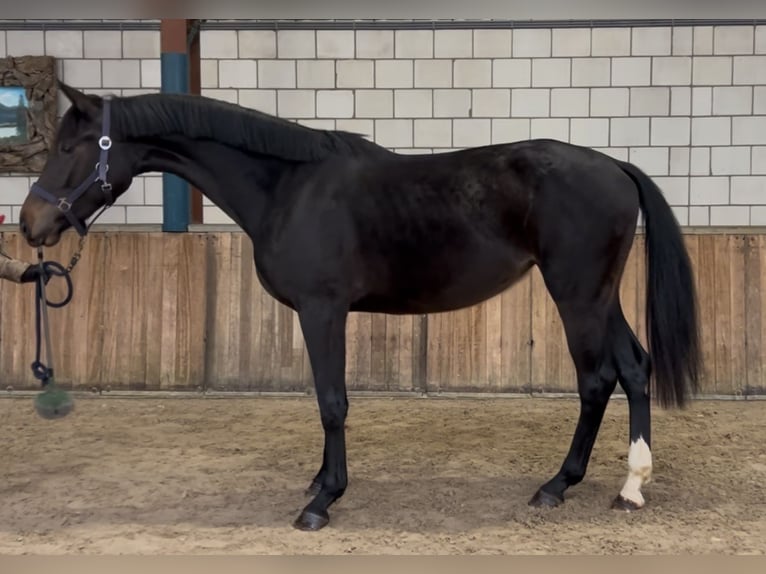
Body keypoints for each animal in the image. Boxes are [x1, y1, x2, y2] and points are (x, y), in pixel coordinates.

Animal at [18, 83, 704, 532]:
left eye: (72, 149)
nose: (30, 225)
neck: (287, 187)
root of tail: (615, 166)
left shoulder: (322, 310)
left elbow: (332, 402)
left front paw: (322, 502)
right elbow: (328, 402)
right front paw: (319, 482)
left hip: (576, 294)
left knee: (597, 379)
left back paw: (558, 487)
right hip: (599, 295)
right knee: (634, 368)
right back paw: (630, 487)